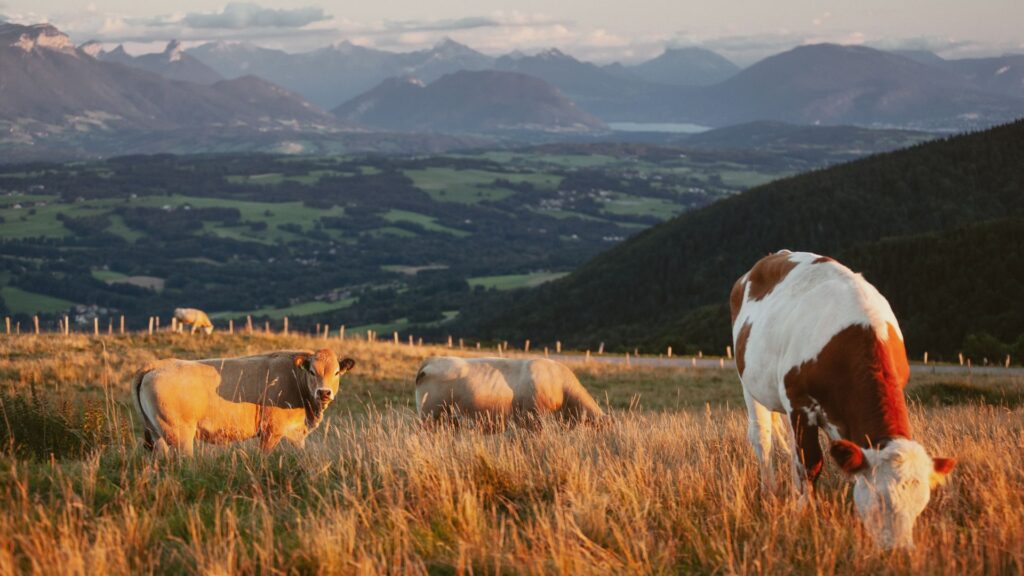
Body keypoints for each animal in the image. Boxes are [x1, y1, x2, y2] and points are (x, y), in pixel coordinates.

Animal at [132, 348, 356, 455]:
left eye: (337, 372)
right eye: (312, 371)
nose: (324, 392)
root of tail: (158, 365)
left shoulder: (296, 434)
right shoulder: (271, 431)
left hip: (156, 433)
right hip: (179, 434)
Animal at [733, 250, 954, 545]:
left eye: (921, 504)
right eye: (880, 500)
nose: (900, 549)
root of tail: (775, 256)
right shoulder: (800, 401)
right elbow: (811, 462)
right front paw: (806, 512)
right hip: (749, 384)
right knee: (762, 438)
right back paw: (770, 491)